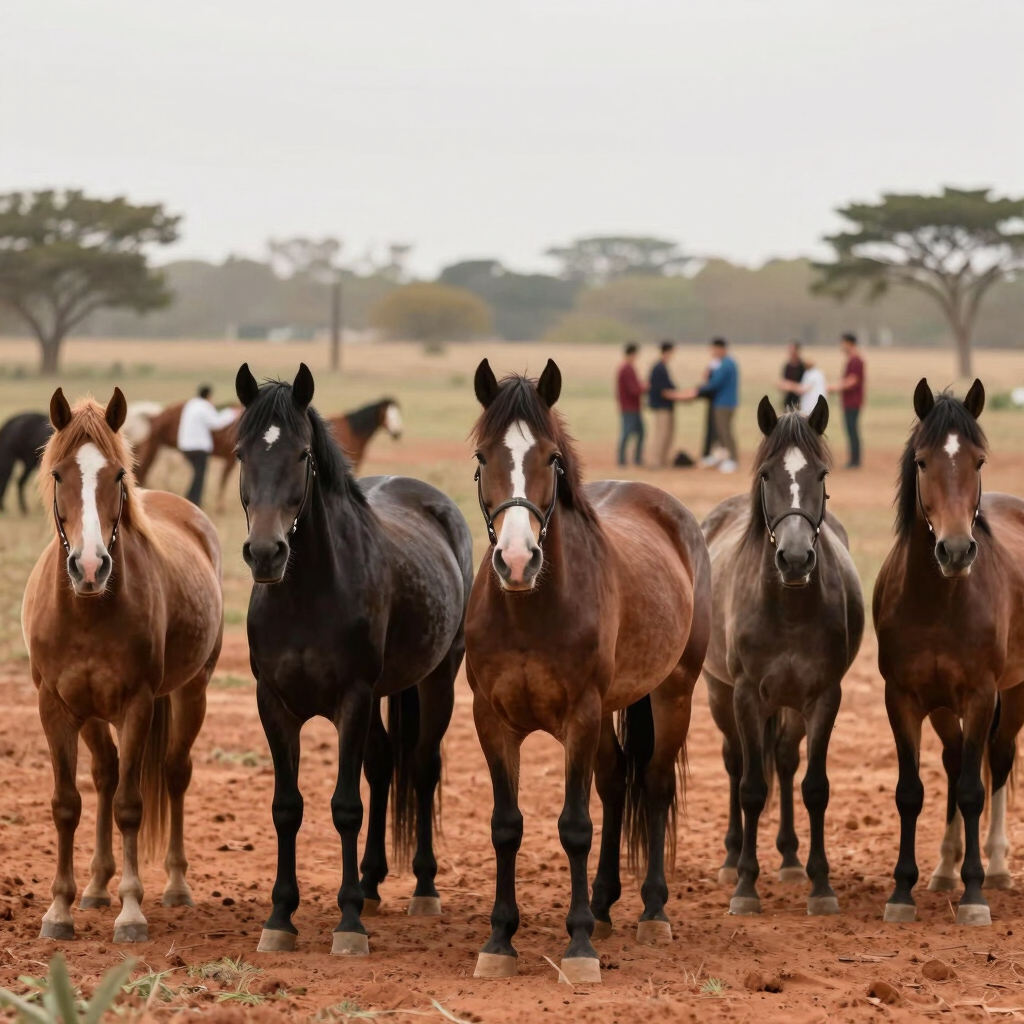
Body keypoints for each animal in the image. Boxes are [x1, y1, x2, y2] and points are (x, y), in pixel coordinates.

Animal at [21, 388, 224, 943]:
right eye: (58, 475)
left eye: (116, 475)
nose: (90, 567)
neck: (88, 609)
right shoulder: (56, 707)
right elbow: (67, 803)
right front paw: (59, 910)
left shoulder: (137, 706)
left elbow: (131, 807)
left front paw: (131, 912)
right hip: (92, 715)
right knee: (106, 775)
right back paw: (94, 887)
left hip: (191, 692)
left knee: (174, 773)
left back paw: (175, 885)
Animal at [234, 363, 471, 956]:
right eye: (241, 451)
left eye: (302, 454)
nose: (266, 553)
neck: (308, 595)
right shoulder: (274, 704)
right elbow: (287, 807)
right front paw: (281, 917)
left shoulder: (352, 699)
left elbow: (345, 806)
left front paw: (347, 924)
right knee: (384, 765)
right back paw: (370, 882)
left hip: (438, 680)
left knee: (423, 767)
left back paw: (422, 888)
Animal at [465, 359, 711, 984]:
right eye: (482, 456)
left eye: (551, 457)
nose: (517, 560)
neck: (529, 610)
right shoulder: (491, 721)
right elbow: (506, 826)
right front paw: (499, 940)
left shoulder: (580, 715)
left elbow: (575, 826)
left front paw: (577, 949)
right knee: (616, 781)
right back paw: (601, 906)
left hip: (672, 694)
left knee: (652, 785)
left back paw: (651, 912)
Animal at [701, 396, 864, 917]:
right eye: (767, 474)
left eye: (822, 474)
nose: (794, 559)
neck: (788, 606)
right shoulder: (747, 696)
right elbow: (752, 788)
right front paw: (745, 887)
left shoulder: (823, 696)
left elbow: (815, 787)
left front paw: (820, 885)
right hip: (720, 694)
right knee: (736, 762)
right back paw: (731, 858)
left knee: (788, 760)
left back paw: (791, 859)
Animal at [874, 379, 1024, 926]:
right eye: (922, 462)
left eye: (979, 461)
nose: (956, 551)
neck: (940, 601)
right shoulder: (904, 698)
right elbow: (911, 791)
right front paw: (903, 892)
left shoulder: (981, 696)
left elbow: (972, 789)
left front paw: (975, 894)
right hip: (943, 707)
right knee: (957, 757)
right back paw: (944, 869)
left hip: (1014, 692)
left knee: (998, 759)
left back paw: (997, 867)